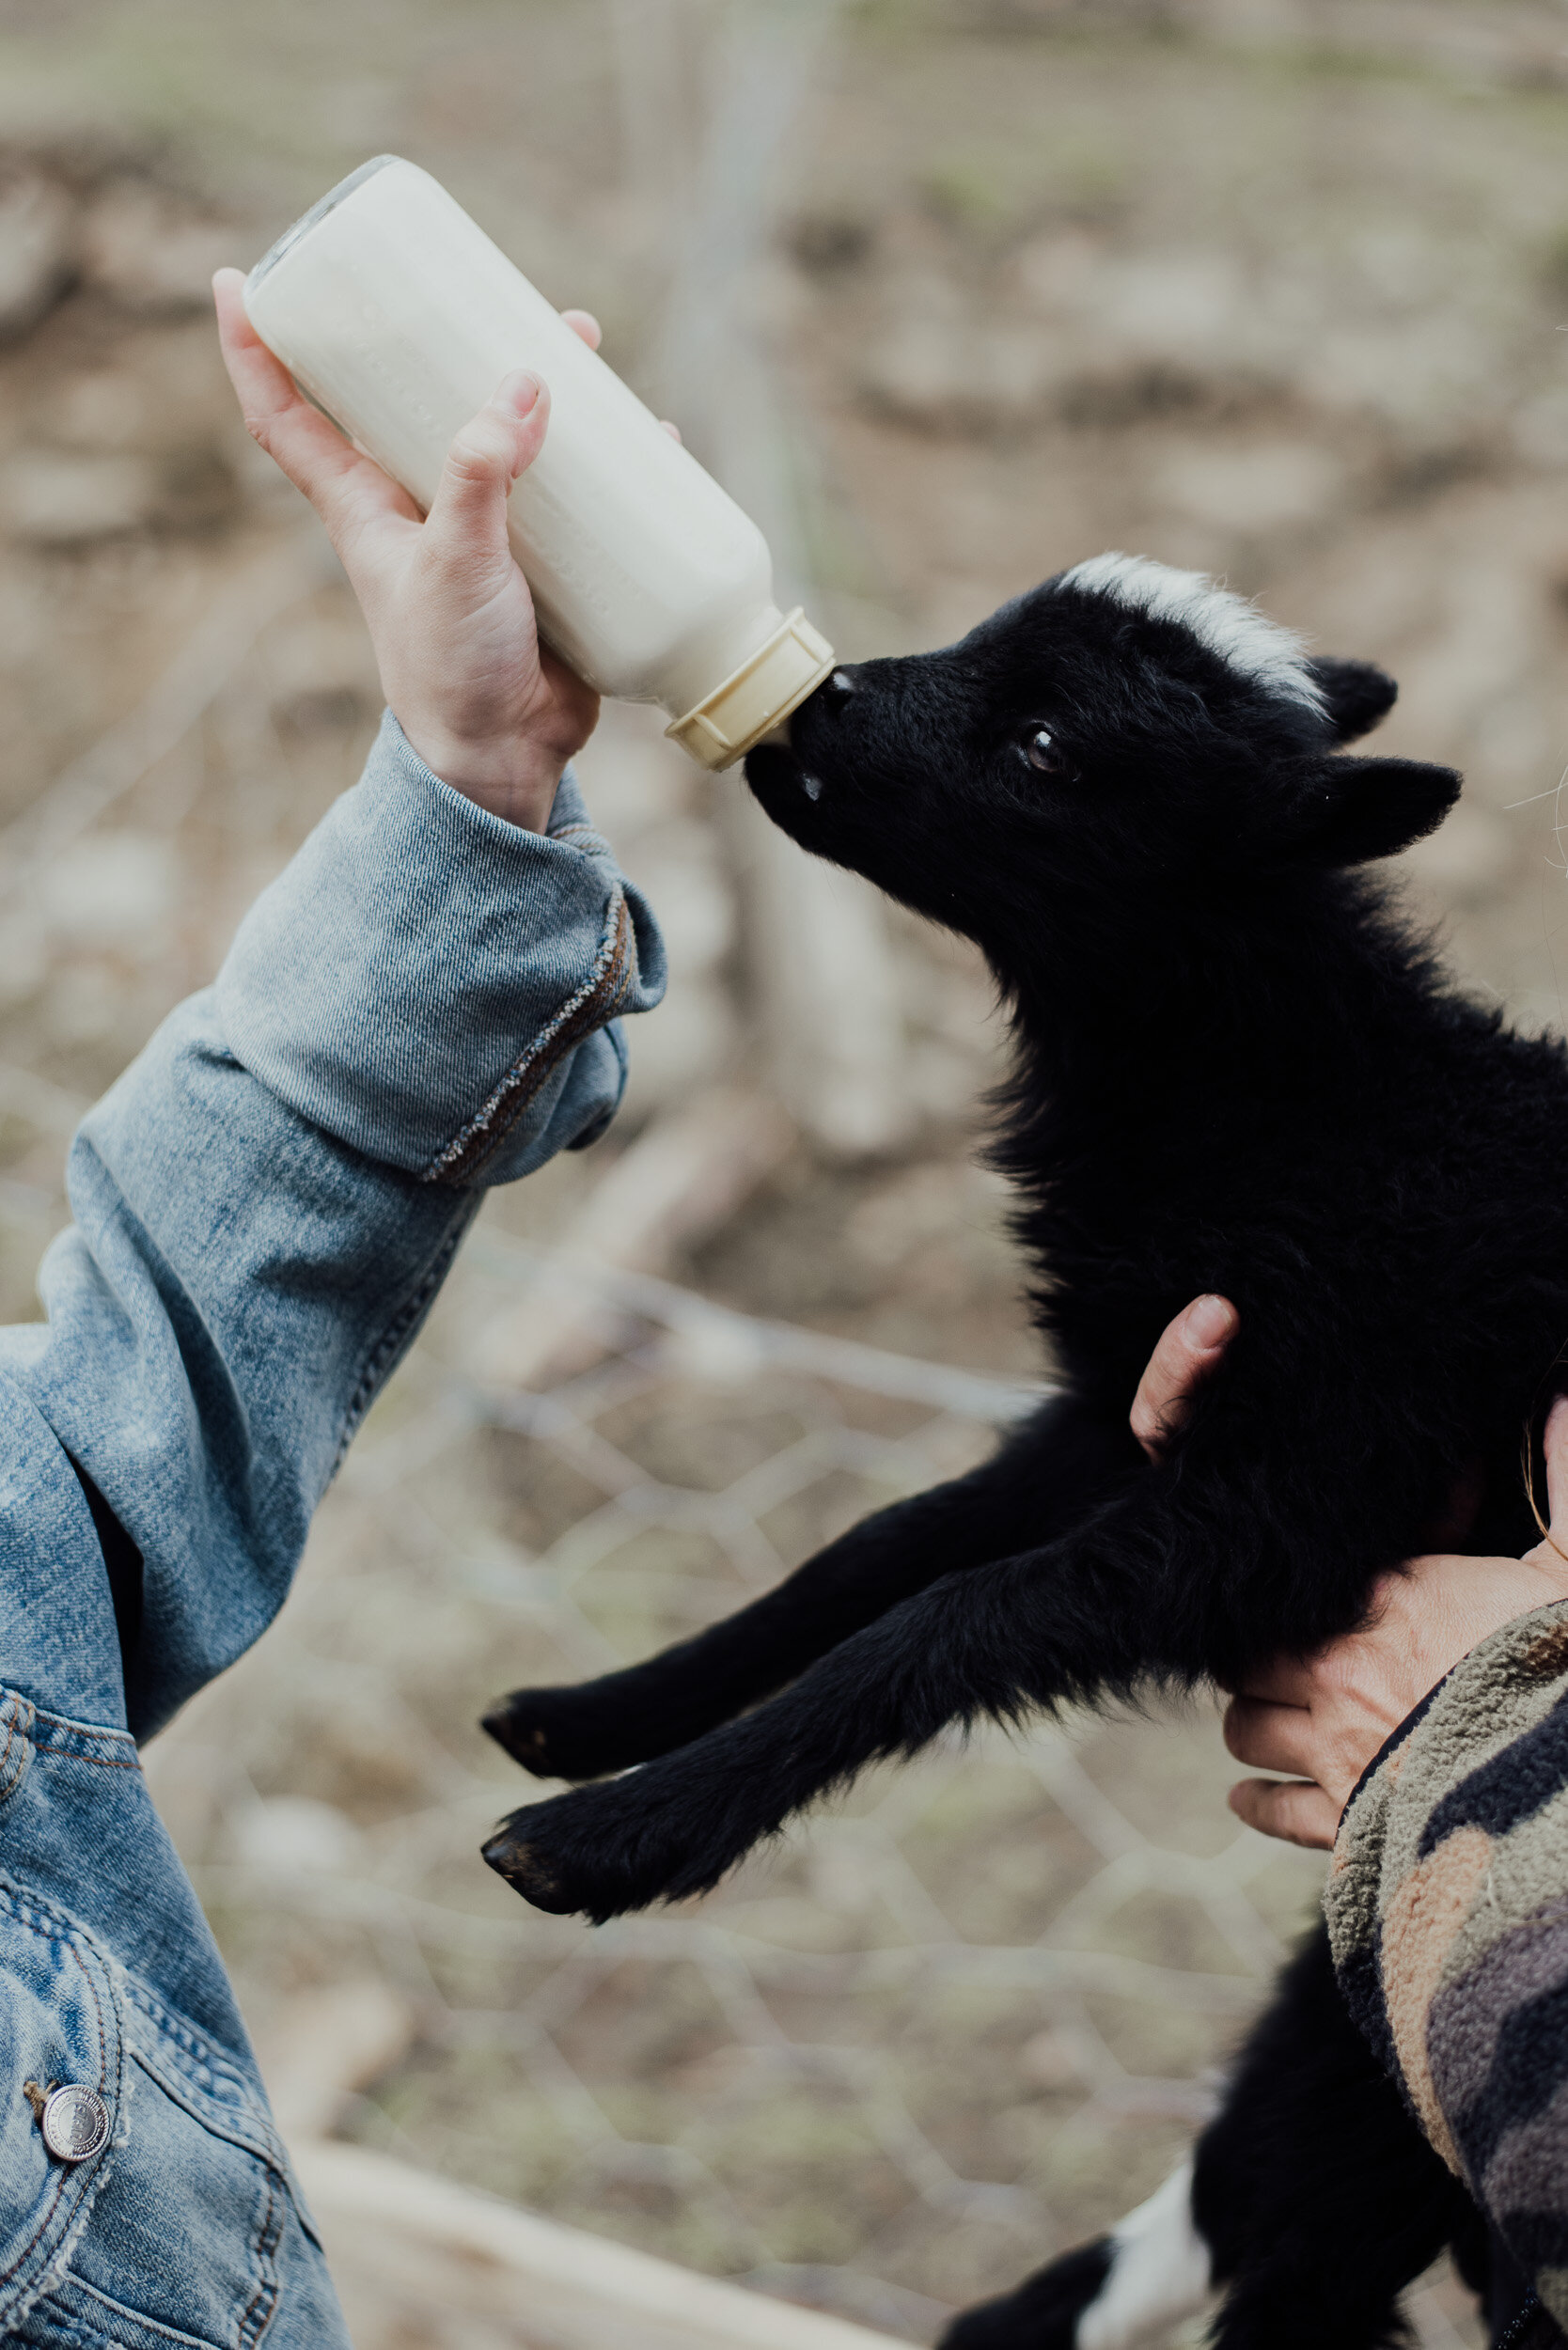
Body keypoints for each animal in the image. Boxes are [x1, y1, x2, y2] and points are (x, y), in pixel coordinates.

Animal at [481, 555, 1568, 2350]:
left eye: (1049, 743)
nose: (814, 706)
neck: (1303, 1104)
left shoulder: (1298, 1483)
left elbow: (949, 1619)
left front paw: (611, 1839)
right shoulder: (1125, 1410)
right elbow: (883, 1545)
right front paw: (591, 1716)